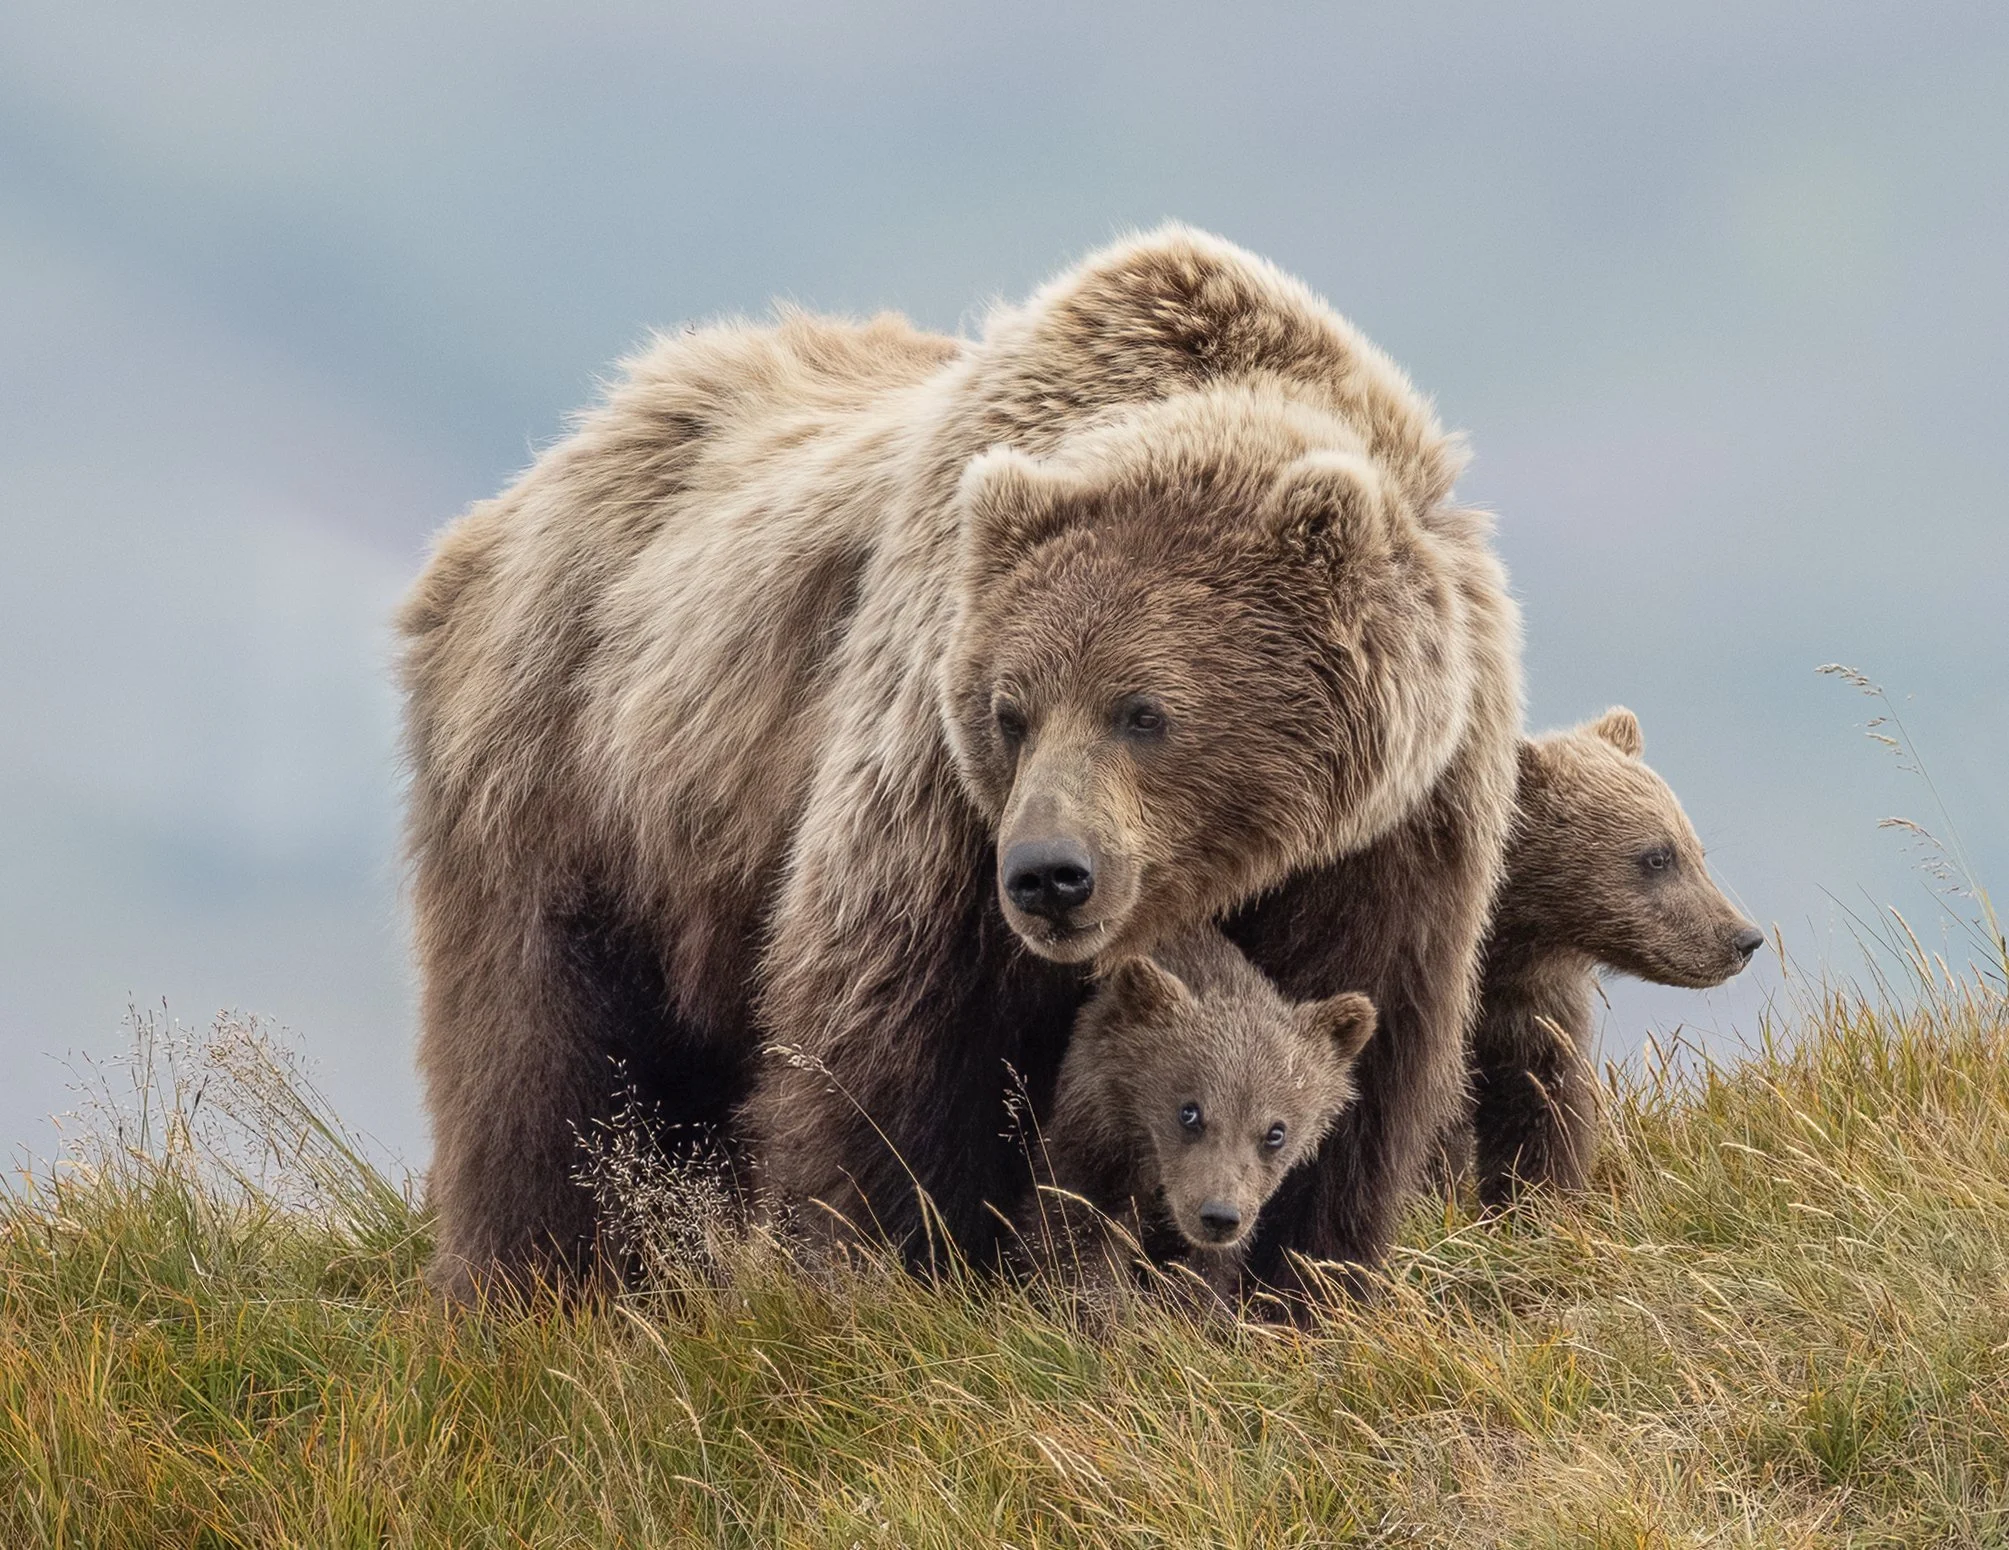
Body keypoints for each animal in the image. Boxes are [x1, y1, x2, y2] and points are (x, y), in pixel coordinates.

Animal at [1018, 928, 1377, 1303]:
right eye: (1189, 1112)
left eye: (1276, 1132)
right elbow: (1075, 1231)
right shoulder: (1098, 1139)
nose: (1219, 1216)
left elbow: (1204, 1275)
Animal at [1467, 707, 1764, 1209]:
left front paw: (1539, 1202)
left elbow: (1544, 1105)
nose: (1745, 938)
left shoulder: (1534, 1007)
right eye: (1657, 857)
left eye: (1696, 851)